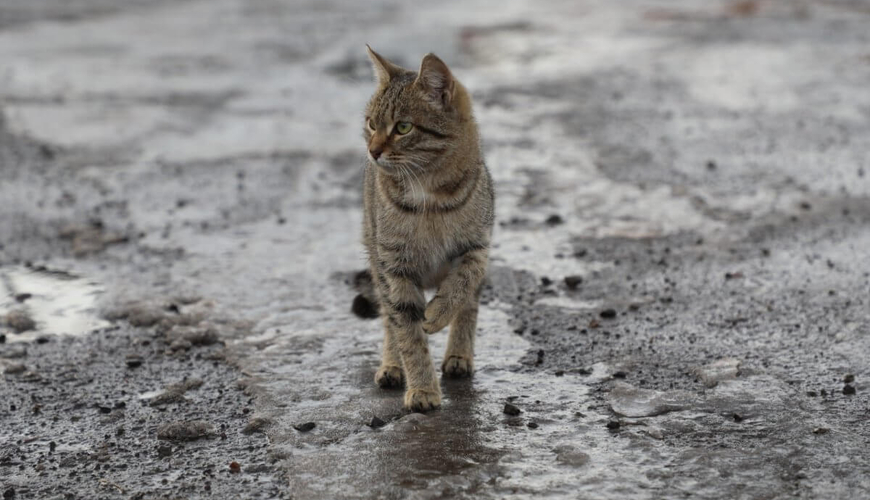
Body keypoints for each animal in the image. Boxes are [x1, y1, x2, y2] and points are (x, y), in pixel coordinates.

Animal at [352, 47, 490, 412]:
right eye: (371, 124)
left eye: (403, 127)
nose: (373, 151)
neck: (429, 198)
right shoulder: (394, 266)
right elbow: (408, 332)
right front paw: (423, 388)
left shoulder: (477, 247)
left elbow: (461, 287)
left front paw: (439, 313)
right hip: (376, 262)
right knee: (389, 319)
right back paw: (391, 365)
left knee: (469, 304)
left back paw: (459, 354)